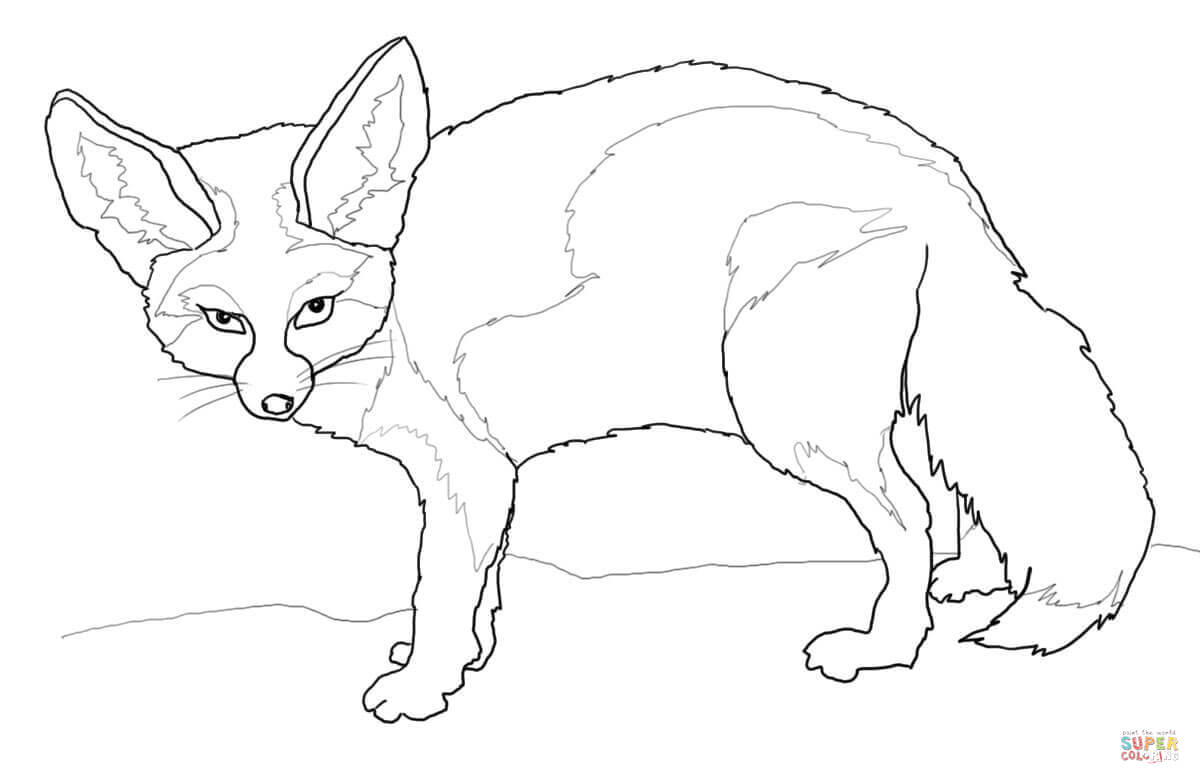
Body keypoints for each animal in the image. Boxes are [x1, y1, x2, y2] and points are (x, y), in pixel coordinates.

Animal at [46, 37, 1153, 722]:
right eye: (222, 321)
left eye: (313, 309)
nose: (277, 400)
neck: (398, 294)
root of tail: (939, 173)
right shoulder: (485, 472)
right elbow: (478, 584)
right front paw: (460, 658)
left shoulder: (467, 465)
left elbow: (440, 583)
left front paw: (424, 688)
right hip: (872, 403)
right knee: (943, 489)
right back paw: (962, 584)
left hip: (784, 412)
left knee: (910, 514)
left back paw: (887, 642)